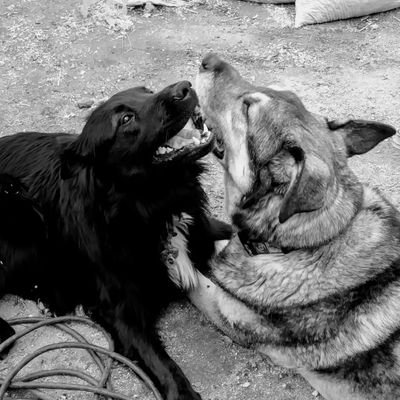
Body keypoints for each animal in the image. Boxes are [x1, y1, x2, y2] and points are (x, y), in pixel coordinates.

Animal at [0, 82, 231, 400]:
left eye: (146, 91)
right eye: (125, 120)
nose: (185, 87)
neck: (149, 206)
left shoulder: (204, 231)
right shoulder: (120, 310)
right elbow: (161, 362)